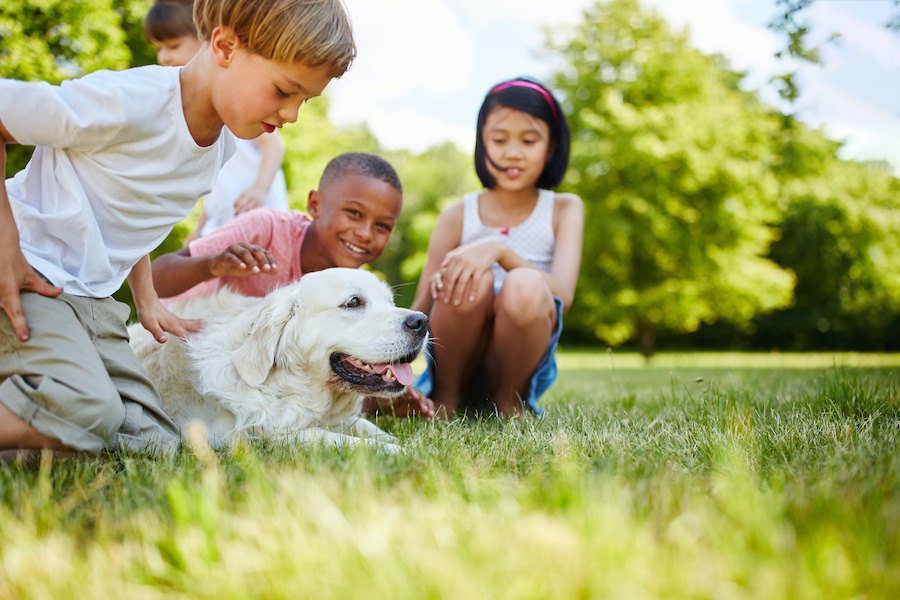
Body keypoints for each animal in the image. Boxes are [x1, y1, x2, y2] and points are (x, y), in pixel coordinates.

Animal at [128, 270, 430, 452]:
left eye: (389, 301)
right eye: (353, 302)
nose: (421, 321)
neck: (287, 387)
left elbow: (371, 430)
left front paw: (411, 443)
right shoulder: (247, 437)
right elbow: (330, 437)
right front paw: (405, 452)